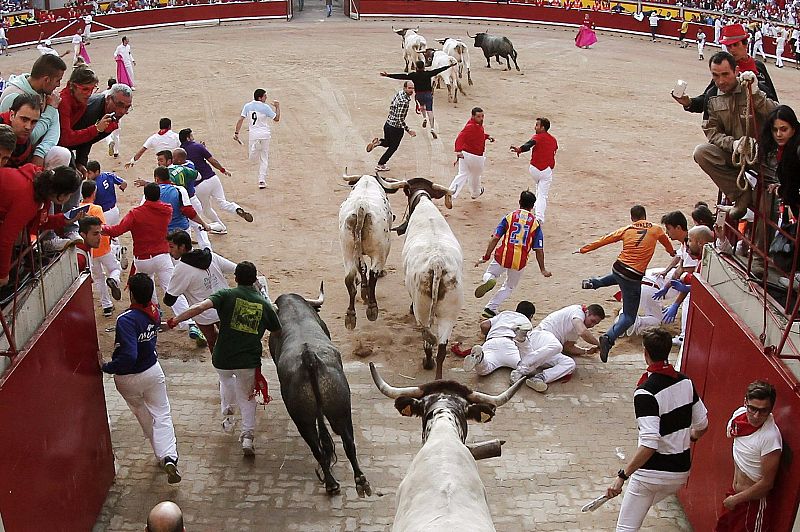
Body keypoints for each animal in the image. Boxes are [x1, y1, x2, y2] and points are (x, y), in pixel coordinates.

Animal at [266, 290, 372, 498]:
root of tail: (309, 358)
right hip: (339, 410)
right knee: (346, 443)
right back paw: (358, 481)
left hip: (304, 419)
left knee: (319, 447)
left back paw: (332, 484)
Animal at [338, 172, 406, 330]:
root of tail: (361, 207)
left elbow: (361, 268)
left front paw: (364, 290)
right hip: (381, 251)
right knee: (373, 273)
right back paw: (372, 308)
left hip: (347, 250)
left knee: (350, 277)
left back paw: (350, 315)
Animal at [392, 178, 462, 378]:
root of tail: (437, 264)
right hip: (449, 314)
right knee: (442, 349)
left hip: (423, 312)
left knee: (428, 340)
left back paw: (427, 363)